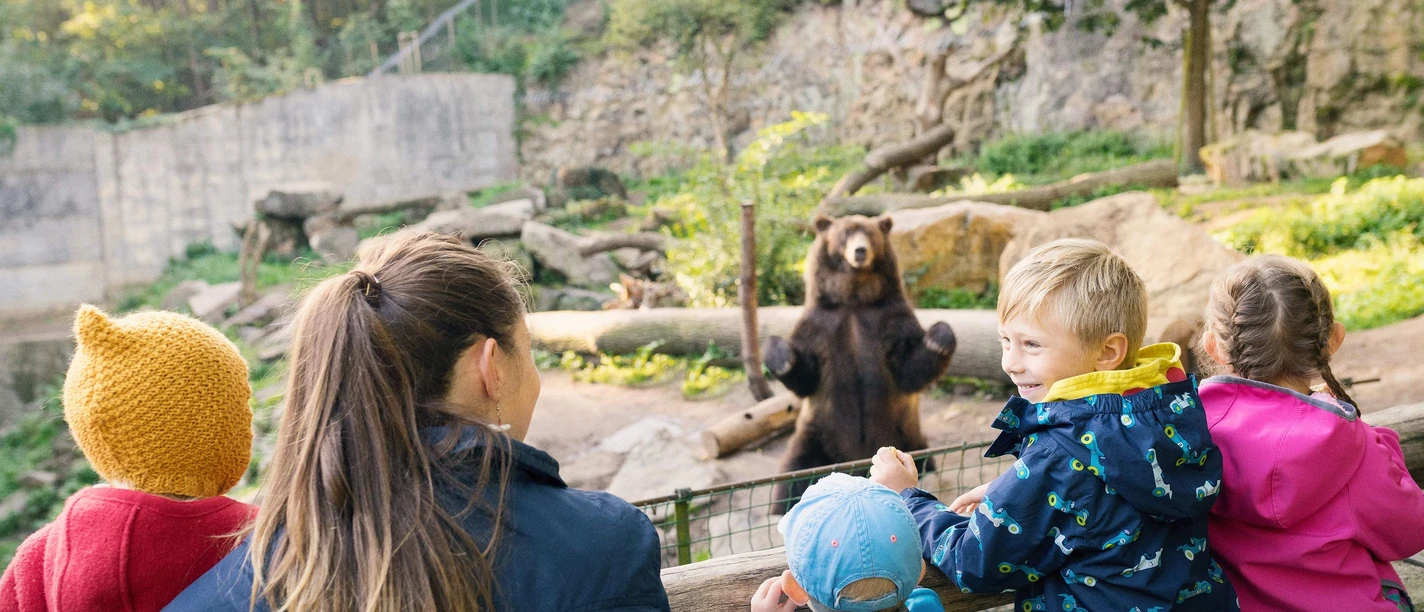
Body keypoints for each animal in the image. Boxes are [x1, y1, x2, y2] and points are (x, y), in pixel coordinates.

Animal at [764, 213, 957, 513]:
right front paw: (780, 356)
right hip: (818, 436)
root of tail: (855, 467)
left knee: (927, 463)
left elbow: (909, 368)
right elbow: (806, 375)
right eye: (845, 233)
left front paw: (939, 338)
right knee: (793, 475)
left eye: (870, 233)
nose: (859, 251)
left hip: (908, 437)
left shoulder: (888, 321)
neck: (854, 300)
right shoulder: (822, 326)